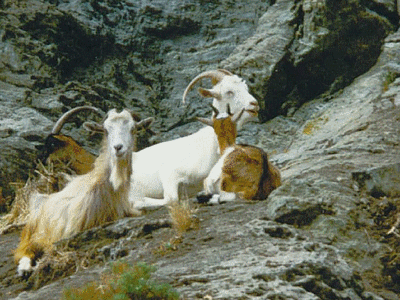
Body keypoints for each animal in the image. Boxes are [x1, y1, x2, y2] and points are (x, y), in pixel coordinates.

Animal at [14, 108, 154, 276]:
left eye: (133, 128)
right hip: (33, 231)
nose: (118, 147)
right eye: (106, 130)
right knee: (24, 250)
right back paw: (24, 268)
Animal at [129, 69, 260, 209]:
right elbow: (171, 199)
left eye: (246, 88)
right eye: (229, 92)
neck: (210, 145)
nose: (254, 104)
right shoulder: (170, 172)